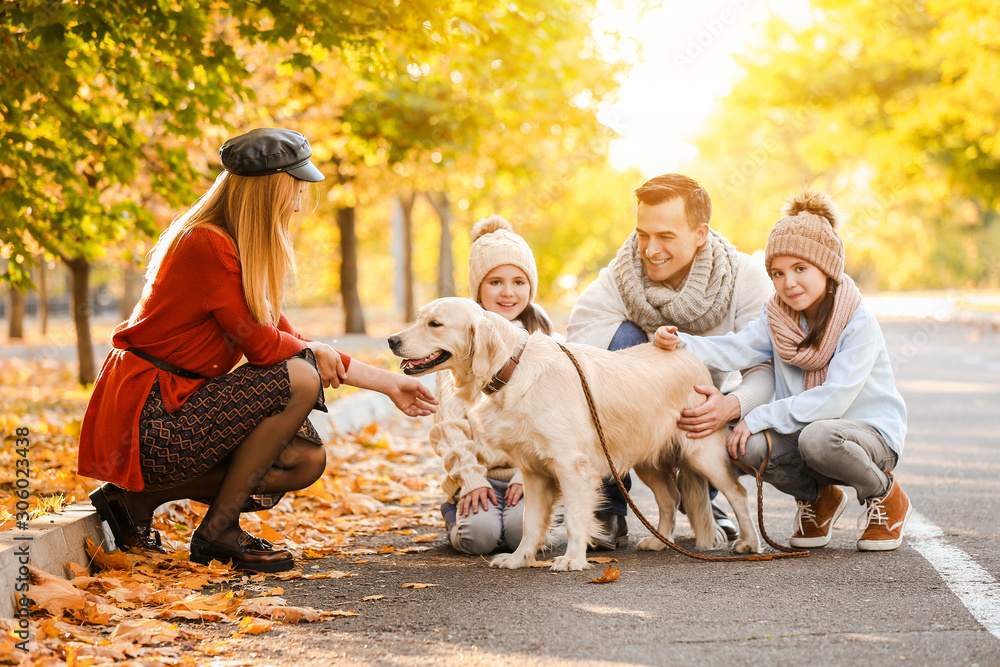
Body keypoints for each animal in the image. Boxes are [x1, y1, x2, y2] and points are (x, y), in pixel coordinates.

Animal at [386, 300, 752, 572]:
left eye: (435, 324)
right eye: (419, 318)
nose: (391, 340)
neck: (513, 370)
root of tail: (689, 356)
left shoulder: (572, 467)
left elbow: (576, 519)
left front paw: (573, 559)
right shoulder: (533, 472)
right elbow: (531, 523)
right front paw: (519, 559)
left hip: (702, 452)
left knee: (737, 493)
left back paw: (749, 542)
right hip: (646, 457)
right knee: (670, 498)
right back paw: (658, 541)